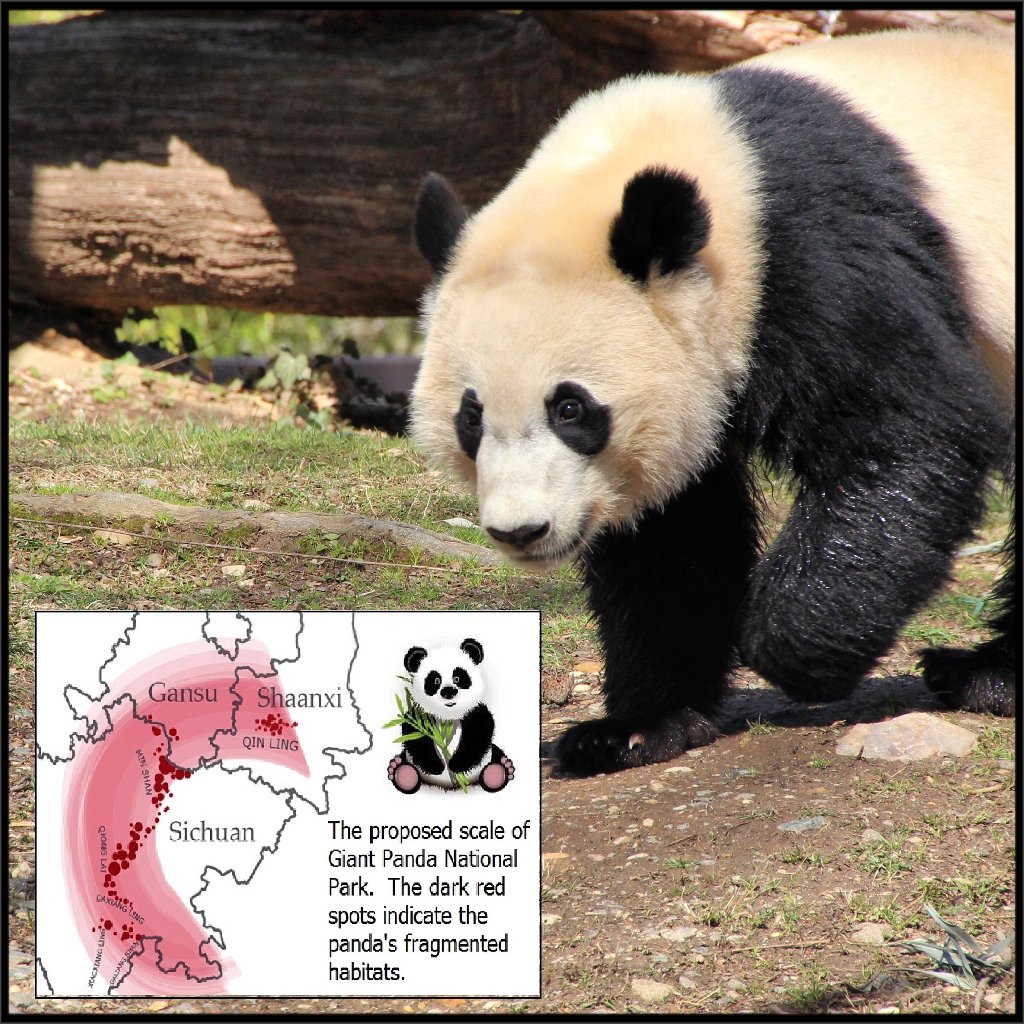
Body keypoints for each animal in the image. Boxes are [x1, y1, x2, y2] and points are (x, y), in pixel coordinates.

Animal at [388, 638, 515, 793]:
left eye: (458, 678)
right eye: (435, 680)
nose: (448, 691)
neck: (447, 718)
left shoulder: (474, 712)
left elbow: (479, 735)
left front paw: (456, 764)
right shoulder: (420, 715)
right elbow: (415, 735)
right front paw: (436, 766)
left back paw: (498, 771)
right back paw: (402, 772)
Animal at [408, 29, 1016, 777]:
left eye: (571, 410)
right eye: (471, 418)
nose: (521, 532)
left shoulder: (818, 251)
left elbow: (906, 430)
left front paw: (793, 647)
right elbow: (675, 536)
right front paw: (638, 726)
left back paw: (983, 676)